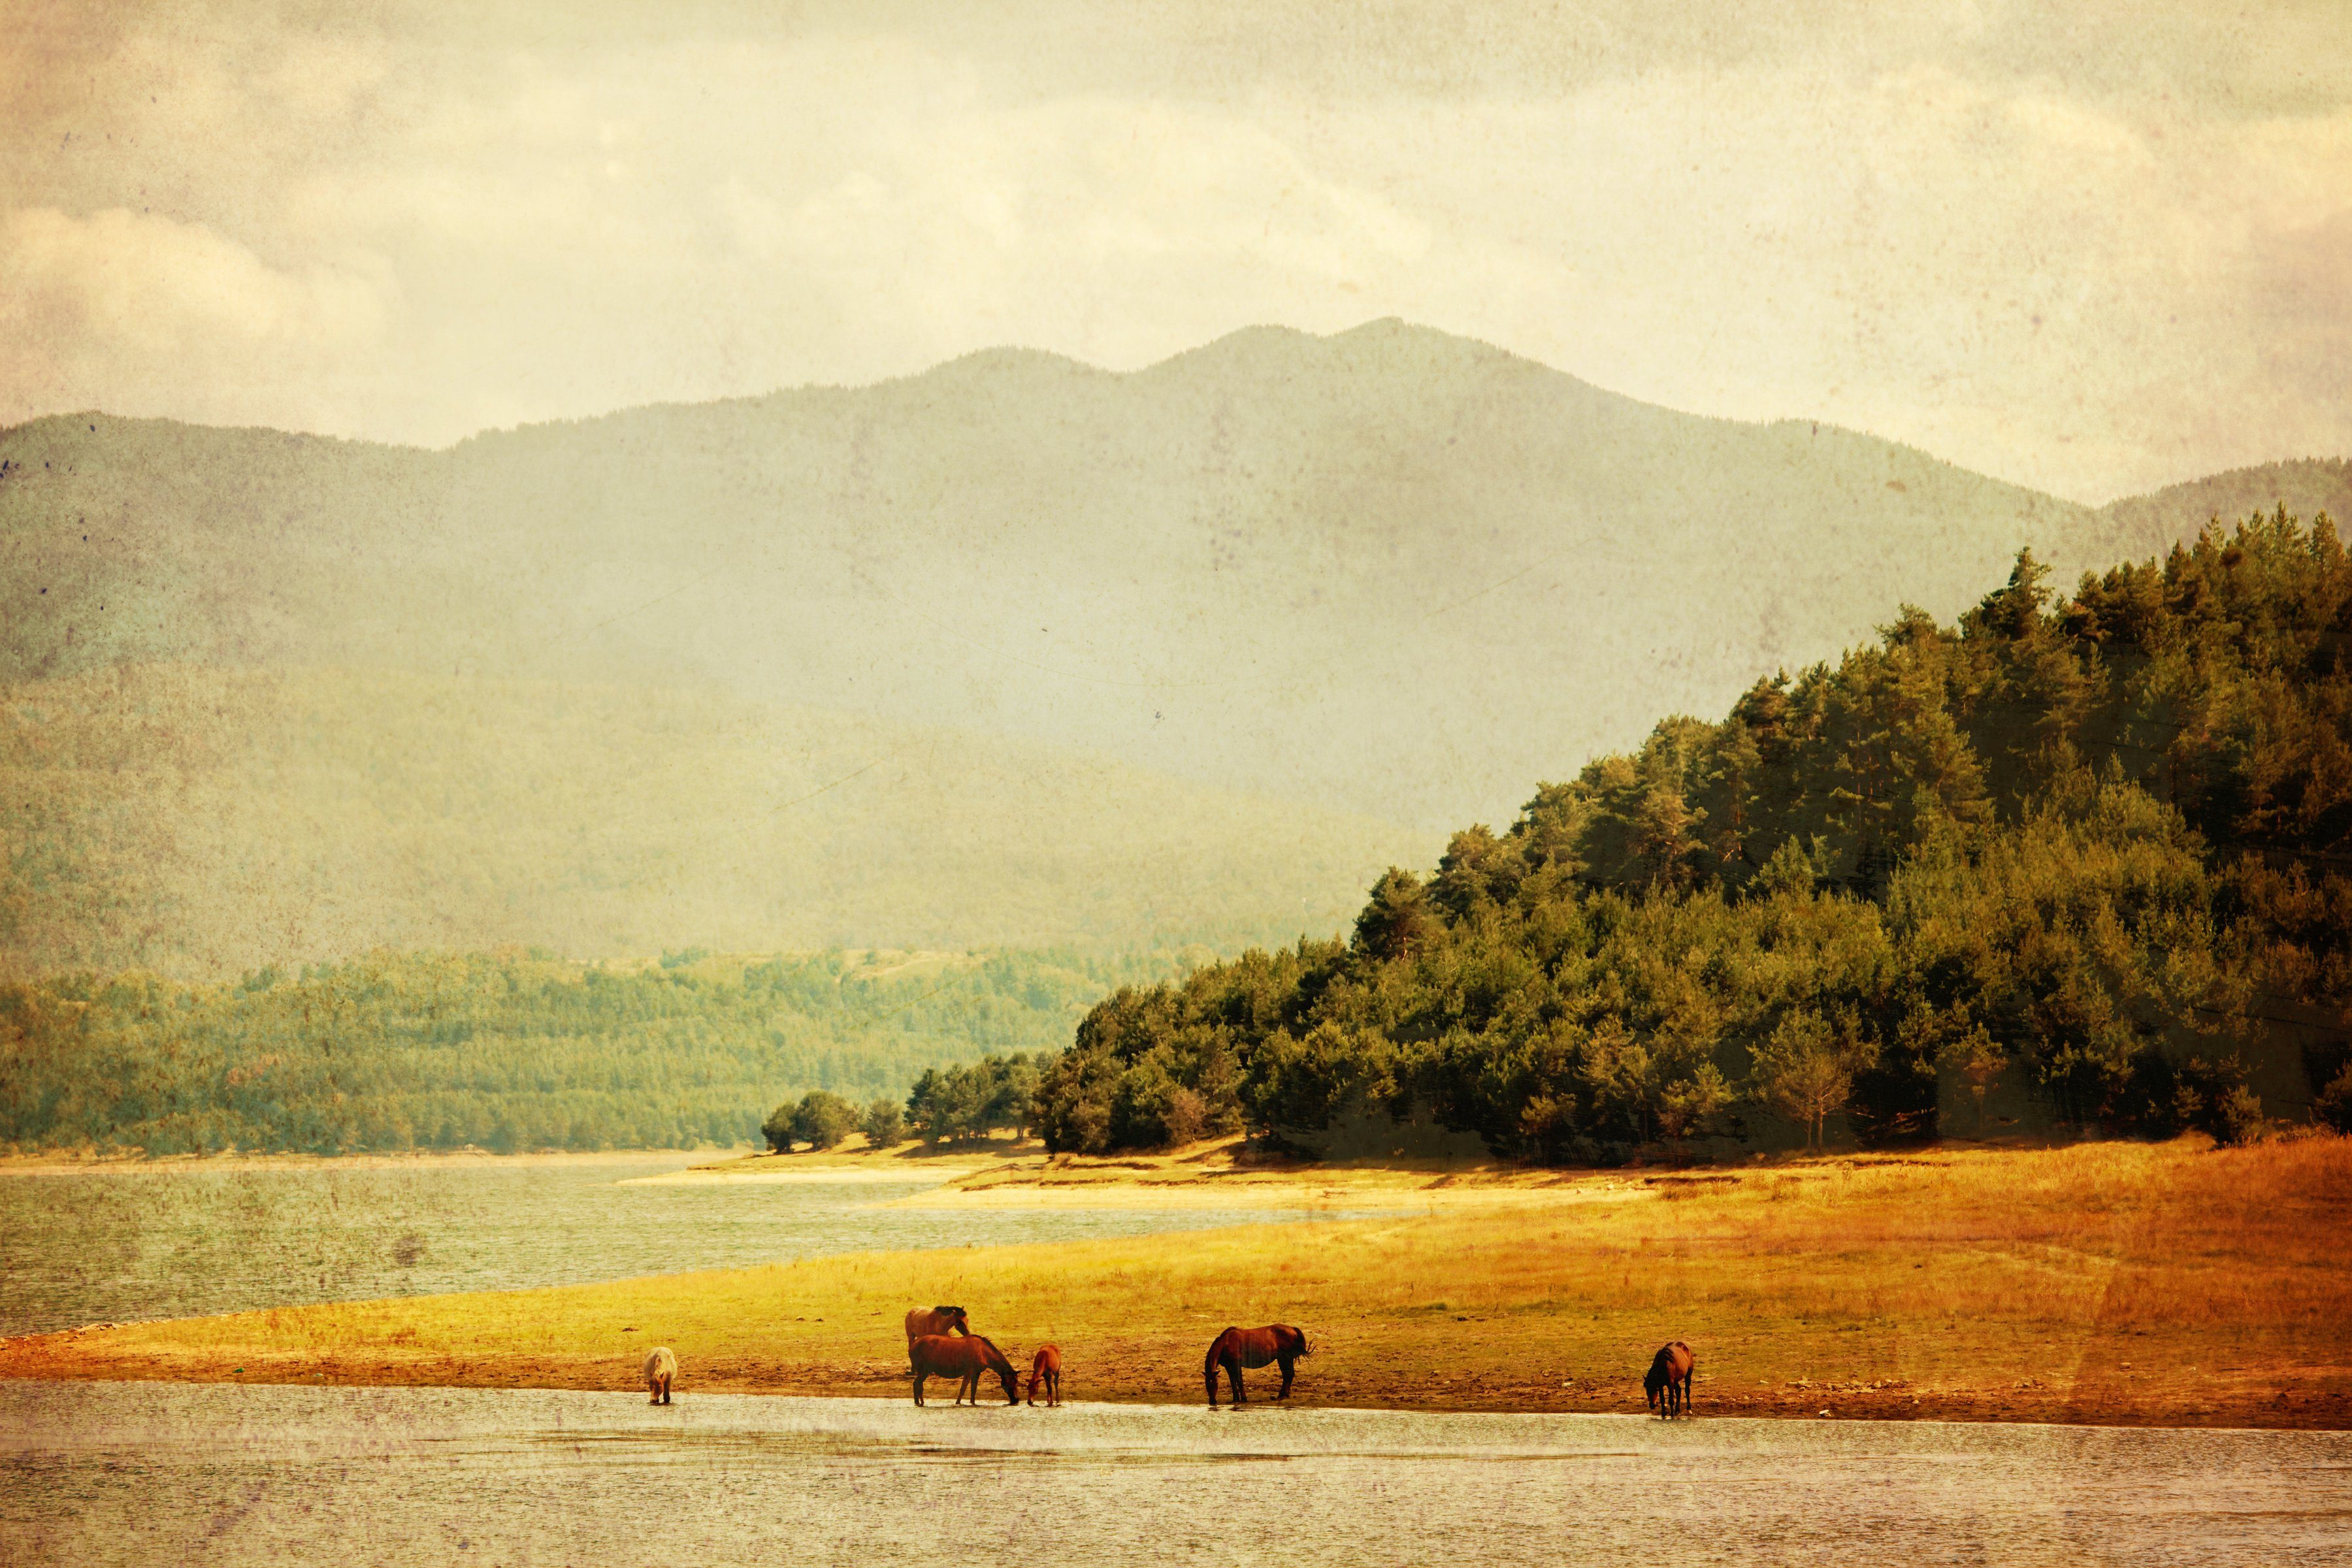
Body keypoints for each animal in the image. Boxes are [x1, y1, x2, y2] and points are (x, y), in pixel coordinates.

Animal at [903, 1335, 1016, 1410]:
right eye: (1013, 1382)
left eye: (1016, 1382)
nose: (1016, 1400)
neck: (984, 1353)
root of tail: (911, 1347)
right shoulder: (969, 1372)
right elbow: (963, 1389)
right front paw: (958, 1403)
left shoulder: (976, 1373)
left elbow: (973, 1390)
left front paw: (973, 1402)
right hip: (923, 1371)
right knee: (916, 1384)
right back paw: (918, 1403)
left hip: (924, 1371)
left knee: (919, 1385)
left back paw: (920, 1402)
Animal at [1204, 1326, 1317, 1410]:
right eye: (1207, 1385)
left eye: (1216, 1384)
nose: (1213, 1401)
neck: (1226, 1343)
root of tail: (1293, 1329)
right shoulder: (1229, 1367)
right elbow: (1233, 1382)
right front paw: (1235, 1400)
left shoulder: (1236, 1365)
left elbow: (1239, 1381)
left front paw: (1243, 1399)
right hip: (1284, 1359)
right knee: (1288, 1375)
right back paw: (1283, 1395)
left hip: (1285, 1359)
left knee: (1288, 1375)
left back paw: (1282, 1395)